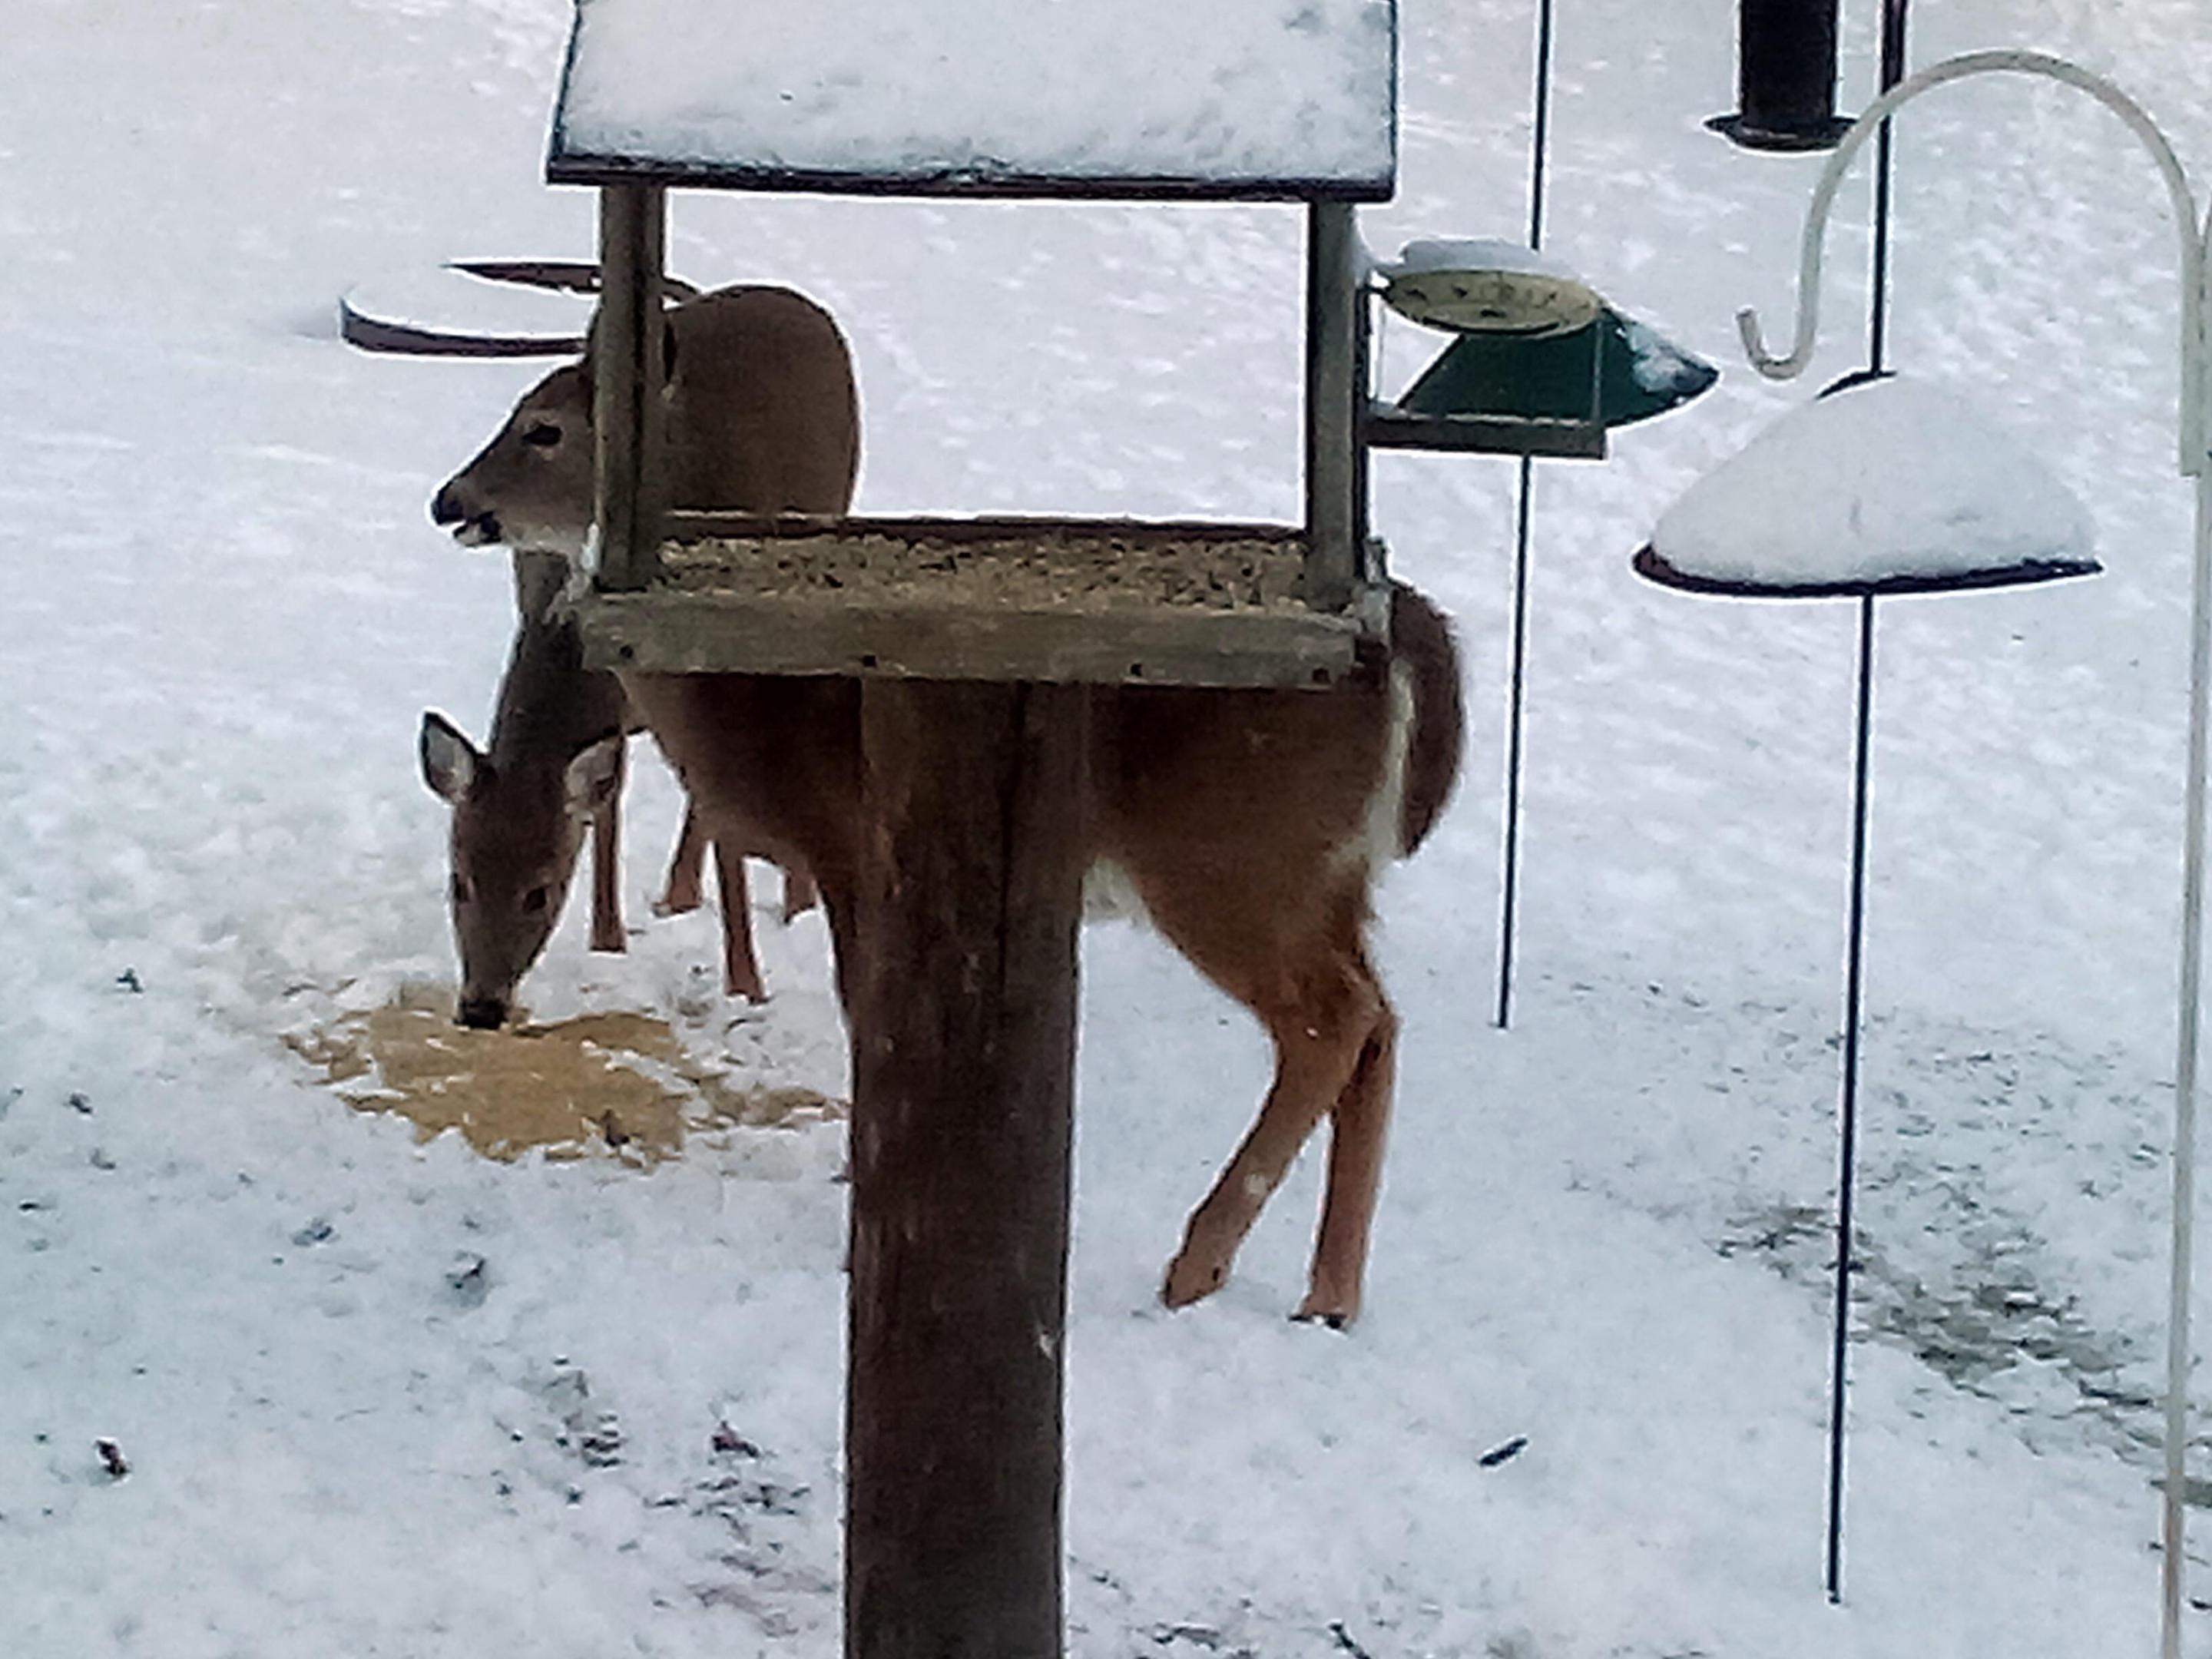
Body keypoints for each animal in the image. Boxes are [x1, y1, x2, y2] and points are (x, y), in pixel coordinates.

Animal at [430, 281, 1464, 1326]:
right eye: (458, 881)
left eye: (543, 427)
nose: (452, 502)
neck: (743, 697)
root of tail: (1409, 643)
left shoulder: (847, 843)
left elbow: (862, 1010)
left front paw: (861, 1192)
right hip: (1327, 873)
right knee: (1379, 1022)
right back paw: (1328, 1295)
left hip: (1231, 861)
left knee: (1330, 1022)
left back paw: (1197, 1266)